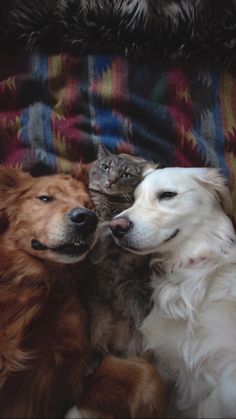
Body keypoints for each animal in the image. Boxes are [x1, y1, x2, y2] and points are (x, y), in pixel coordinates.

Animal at [0, 167, 166, 419]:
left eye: (90, 206)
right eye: (45, 198)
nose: (88, 219)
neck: (43, 282)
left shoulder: (71, 380)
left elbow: (149, 377)